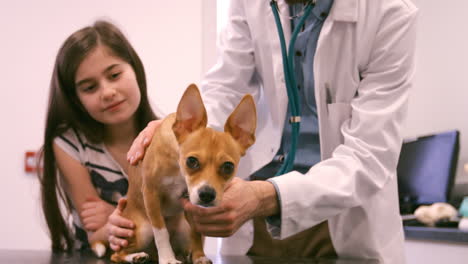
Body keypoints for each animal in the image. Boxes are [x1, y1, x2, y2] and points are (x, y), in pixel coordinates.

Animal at [102, 85, 256, 264]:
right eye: (192, 161)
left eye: (228, 167)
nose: (207, 194)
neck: (178, 168)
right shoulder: (151, 194)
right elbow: (161, 232)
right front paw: (168, 258)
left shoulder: (193, 211)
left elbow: (196, 233)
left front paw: (199, 256)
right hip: (143, 230)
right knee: (117, 254)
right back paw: (136, 256)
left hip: (183, 227)